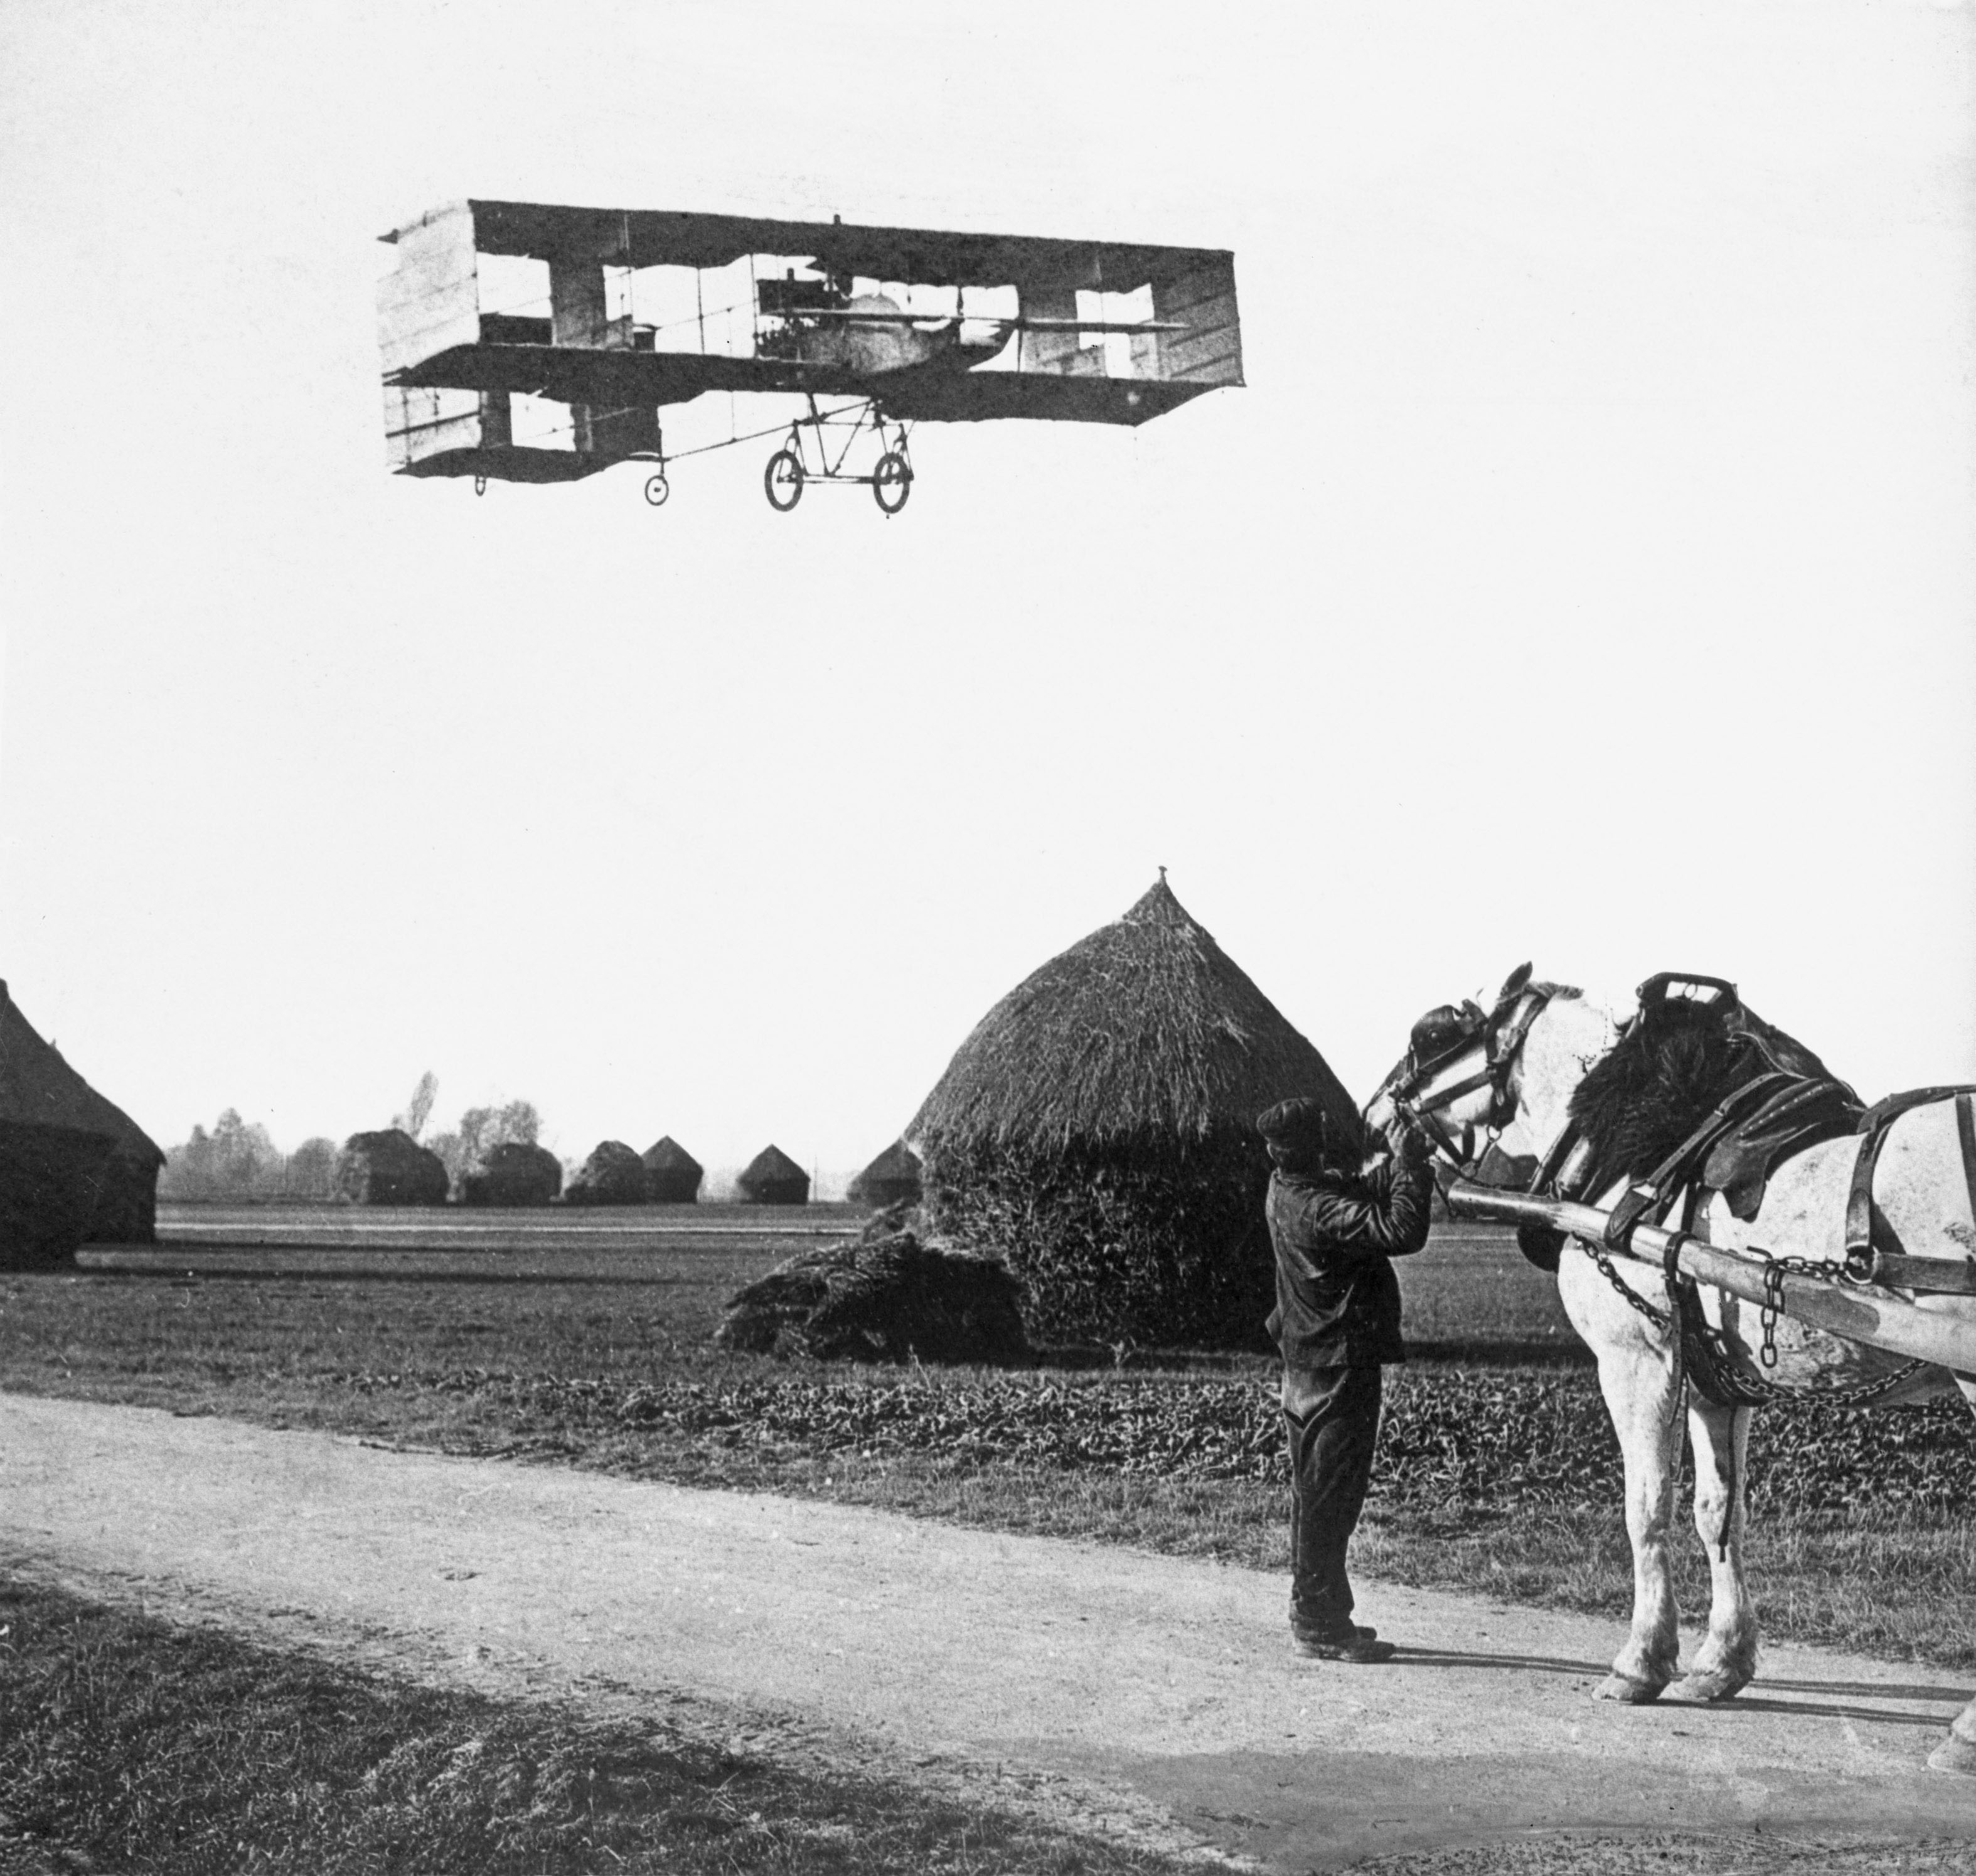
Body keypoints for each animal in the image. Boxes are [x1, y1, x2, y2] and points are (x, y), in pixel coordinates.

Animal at [1367, 965, 1976, 1771]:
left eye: (1429, 1036)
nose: (1373, 1117)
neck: (1641, 1151)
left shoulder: (1637, 1357)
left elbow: (1644, 1507)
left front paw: (1640, 1662)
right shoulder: (1717, 1380)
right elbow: (1718, 1512)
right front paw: (1718, 1664)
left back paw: (1965, 1731)